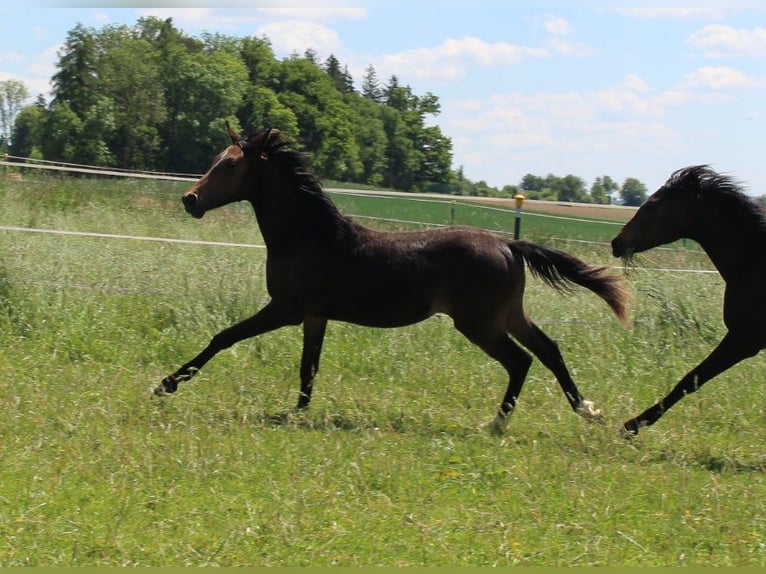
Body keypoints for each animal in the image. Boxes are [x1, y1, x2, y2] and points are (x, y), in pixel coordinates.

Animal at [154, 124, 629, 433]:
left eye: (230, 167)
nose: (189, 199)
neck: (310, 238)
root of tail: (510, 245)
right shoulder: (314, 316)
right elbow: (309, 367)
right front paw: (297, 413)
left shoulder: (286, 309)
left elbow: (224, 337)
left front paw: (166, 384)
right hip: (508, 314)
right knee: (548, 350)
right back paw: (585, 408)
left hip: (479, 323)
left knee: (521, 360)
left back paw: (496, 423)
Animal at [611, 165, 766, 435]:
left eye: (652, 206)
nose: (617, 243)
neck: (754, 263)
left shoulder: (744, 339)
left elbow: (689, 380)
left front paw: (631, 425)